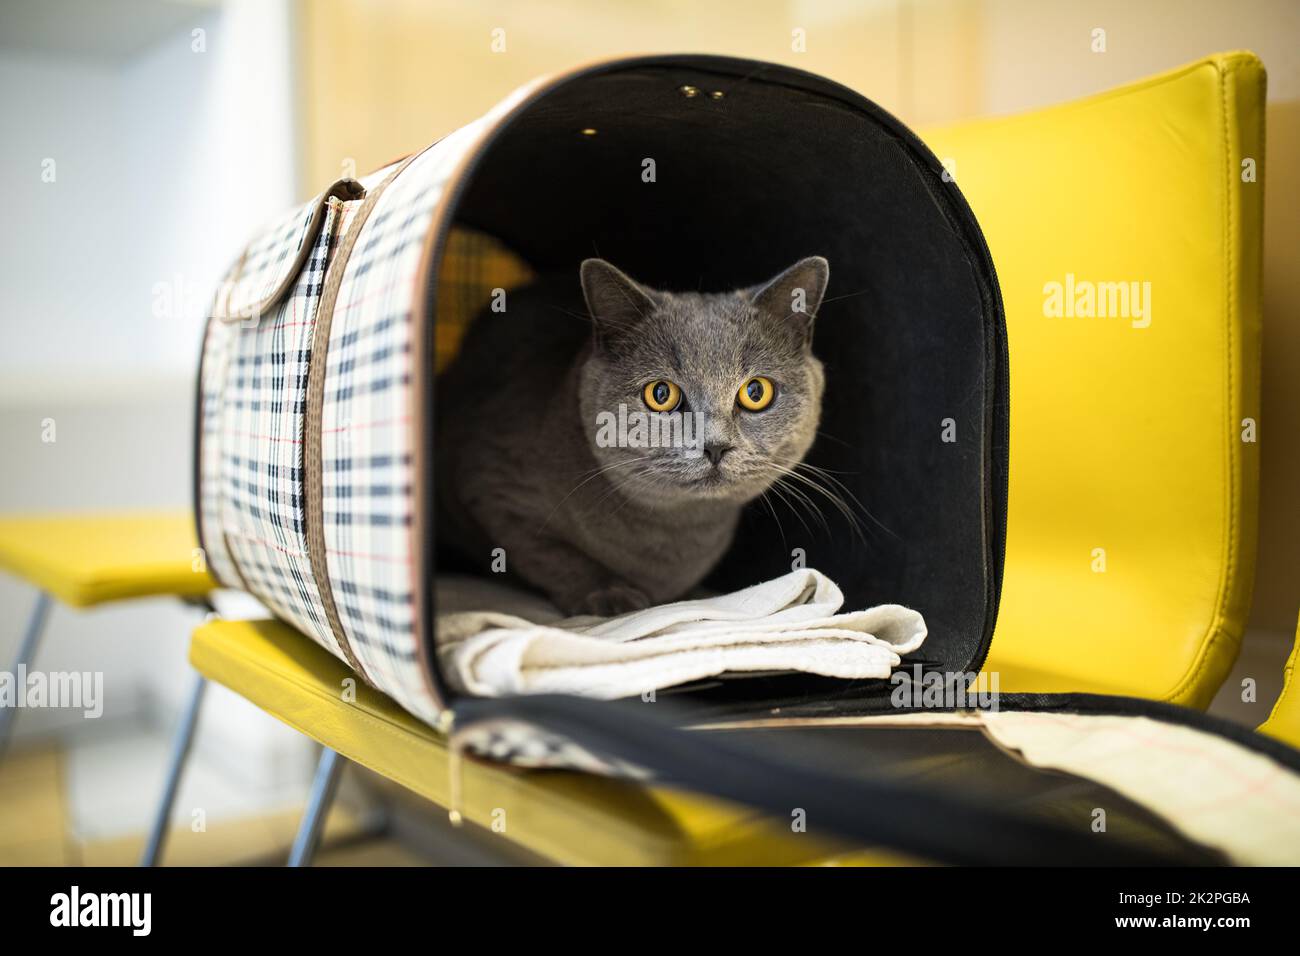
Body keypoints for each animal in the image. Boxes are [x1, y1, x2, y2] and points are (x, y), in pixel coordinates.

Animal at [431, 254, 826, 616]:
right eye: (661, 394)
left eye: (756, 392)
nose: (715, 446)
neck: (675, 535)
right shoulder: (494, 486)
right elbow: (552, 555)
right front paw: (610, 596)